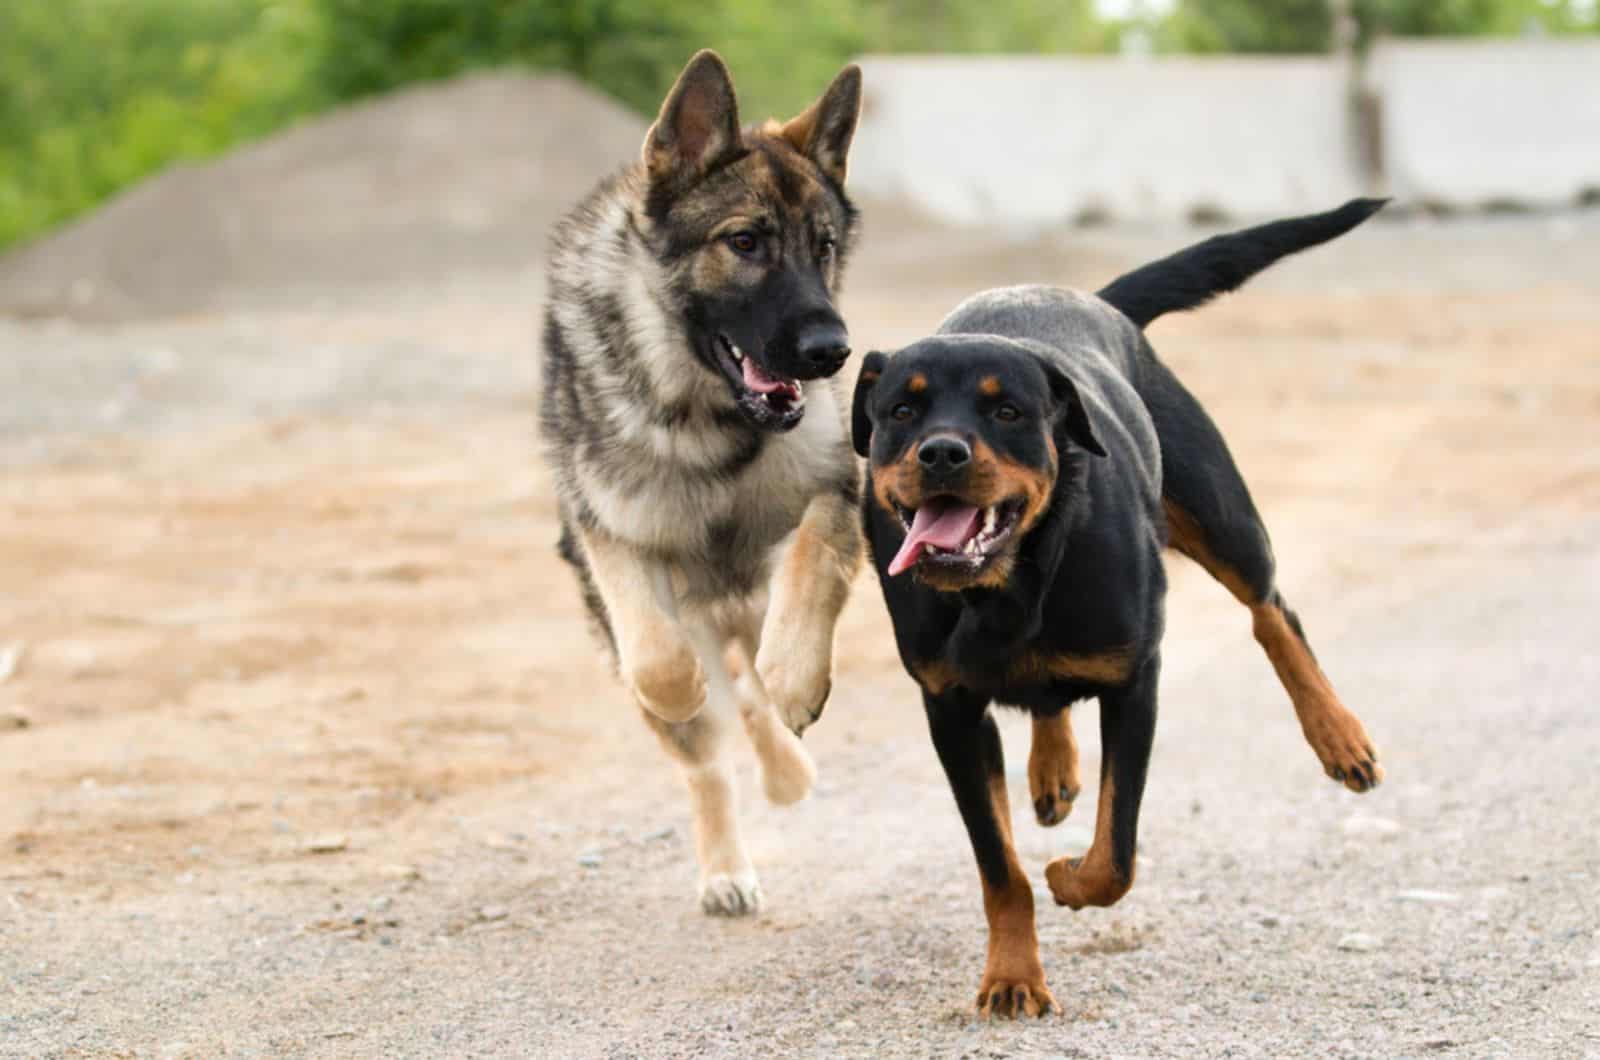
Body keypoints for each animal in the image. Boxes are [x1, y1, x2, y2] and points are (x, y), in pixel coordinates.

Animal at [851, 201, 1388, 1024]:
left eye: (1007, 410)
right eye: (901, 410)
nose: (940, 452)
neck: (1006, 585)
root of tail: (1097, 302)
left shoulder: (1136, 680)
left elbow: (1116, 852)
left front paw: (1068, 880)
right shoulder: (950, 710)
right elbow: (999, 867)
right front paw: (1013, 974)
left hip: (1220, 514)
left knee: (1271, 610)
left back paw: (1338, 734)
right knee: (1048, 697)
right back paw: (1052, 770)